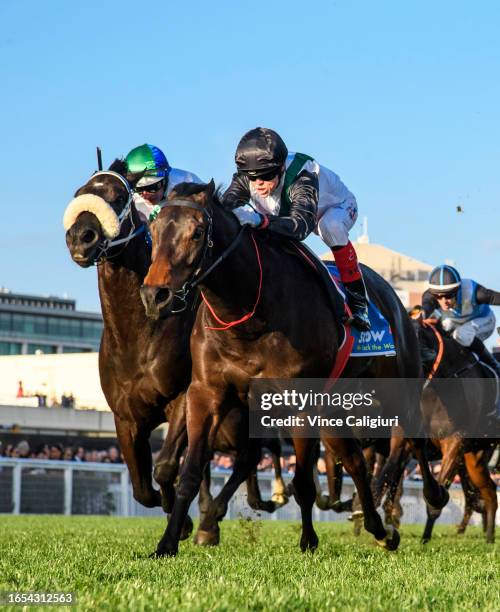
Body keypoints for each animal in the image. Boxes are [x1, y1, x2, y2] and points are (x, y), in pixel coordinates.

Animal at [63, 160, 290, 544]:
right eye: (80, 193)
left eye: (119, 195)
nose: (81, 236)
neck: (140, 333)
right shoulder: (125, 416)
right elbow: (142, 486)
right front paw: (175, 514)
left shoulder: (184, 398)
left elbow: (167, 467)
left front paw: (181, 521)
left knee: (252, 454)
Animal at [142, 179, 450, 556]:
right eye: (154, 230)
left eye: (198, 232)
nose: (155, 295)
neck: (248, 313)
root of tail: (394, 296)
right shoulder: (206, 393)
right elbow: (189, 471)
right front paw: (167, 542)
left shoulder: (299, 401)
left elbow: (303, 482)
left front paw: (308, 541)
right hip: (335, 407)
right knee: (356, 461)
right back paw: (379, 528)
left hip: (397, 389)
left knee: (414, 437)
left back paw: (433, 497)